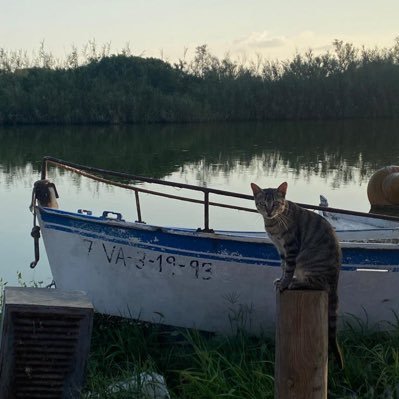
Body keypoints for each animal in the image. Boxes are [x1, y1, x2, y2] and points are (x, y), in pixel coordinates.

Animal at [253, 181, 344, 368]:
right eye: (263, 203)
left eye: (276, 203)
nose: (269, 212)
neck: (274, 223)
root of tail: (336, 281)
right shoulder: (281, 249)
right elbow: (283, 266)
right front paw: (281, 279)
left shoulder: (291, 246)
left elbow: (288, 267)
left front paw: (285, 283)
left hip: (313, 266)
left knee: (319, 284)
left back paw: (297, 282)